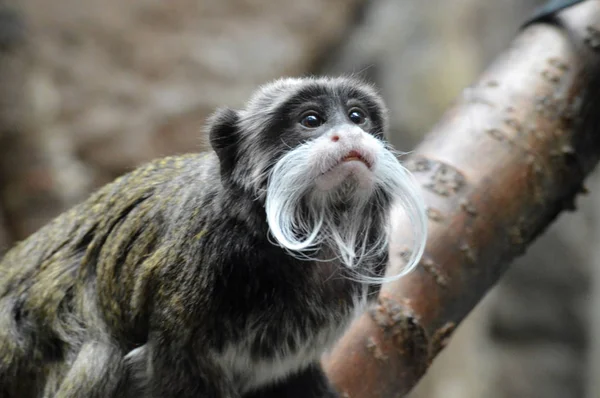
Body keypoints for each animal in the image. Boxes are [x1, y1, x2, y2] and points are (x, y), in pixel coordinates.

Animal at [0, 76, 428, 396]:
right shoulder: (192, 280)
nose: (349, 135)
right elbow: (170, 372)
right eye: (311, 120)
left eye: (357, 116)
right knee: (100, 356)